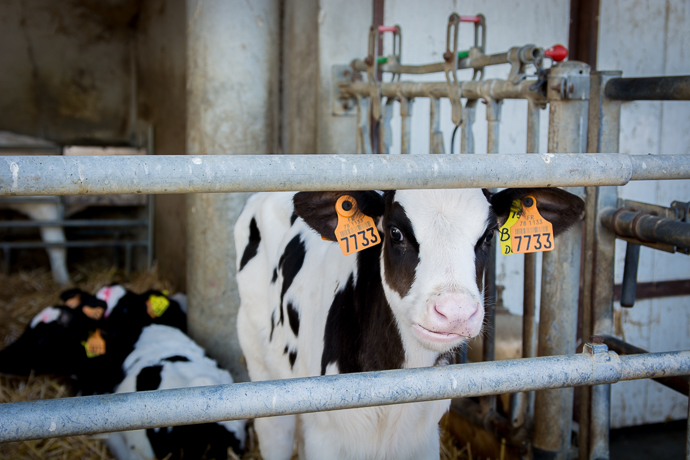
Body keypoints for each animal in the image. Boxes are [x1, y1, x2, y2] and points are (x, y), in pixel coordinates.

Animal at [235, 188, 580, 460]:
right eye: (396, 233)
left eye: (488, 236)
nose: (455, 311)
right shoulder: (327, 438)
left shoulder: (423, 438)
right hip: (261, 367)